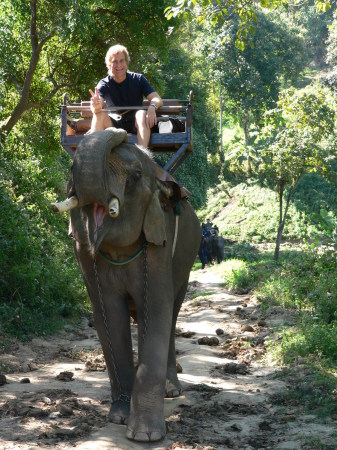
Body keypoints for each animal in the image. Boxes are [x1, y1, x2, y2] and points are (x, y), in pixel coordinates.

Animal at [50, 127, 200, 442]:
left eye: (134, 176)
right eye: (71, 169)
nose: (120, 129)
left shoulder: (160, 242)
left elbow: (155, 312)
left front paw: (144, 436)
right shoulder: (84, 254)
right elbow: (109, 315)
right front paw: (119, 417)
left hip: (186, 265)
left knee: (172, 316)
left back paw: (172, 390)